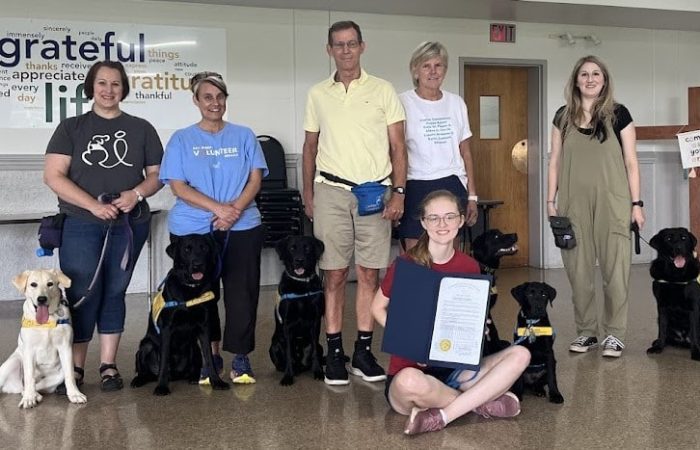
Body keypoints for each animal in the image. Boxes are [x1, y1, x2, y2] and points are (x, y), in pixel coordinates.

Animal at [0, 268, 87, 410]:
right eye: (33, 284)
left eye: (50, 284)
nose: (41, 299)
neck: (46, 322)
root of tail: (12, 387)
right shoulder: (29, 350)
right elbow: (29, 376)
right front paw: (29, 399)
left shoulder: (65, 348)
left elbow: (70, 376)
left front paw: (75, 394)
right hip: (12, 363)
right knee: (26, 384)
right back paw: (30, 394)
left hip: (58, 375)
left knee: (29, 387)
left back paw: (36, 395)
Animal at [130, 234, 228, 396]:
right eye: (187, 249)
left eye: (204, 248)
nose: (197, 264)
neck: (189, 289)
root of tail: (175, 375)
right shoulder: (167, 329)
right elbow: (164, 361)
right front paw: (162, 387)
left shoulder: (204, 327)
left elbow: (209, 357)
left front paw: (216, 381)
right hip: (145, 346)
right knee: (147, 371)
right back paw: (139, 380)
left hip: (194, 348)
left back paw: (193, 377)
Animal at [270, 234, 326, 384]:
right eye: (292, 248)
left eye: (307, 248)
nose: (299, 260)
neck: (301, 285)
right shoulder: (287, 325)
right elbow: (289, 354)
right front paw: (288, 376)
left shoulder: (315, 322)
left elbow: (314, 353)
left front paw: (318, 371)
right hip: (274, 346)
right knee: (283, 362)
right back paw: (291, 370)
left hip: (318, 346)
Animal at [644, 227, 700, 360]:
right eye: (668, 239)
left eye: (684, 238)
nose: (679, 247)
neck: (675, 276)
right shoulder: (662, 306)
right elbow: (662, 329)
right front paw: (659, 347)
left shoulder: (693, 307)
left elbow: (694, 331)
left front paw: (696, 352)